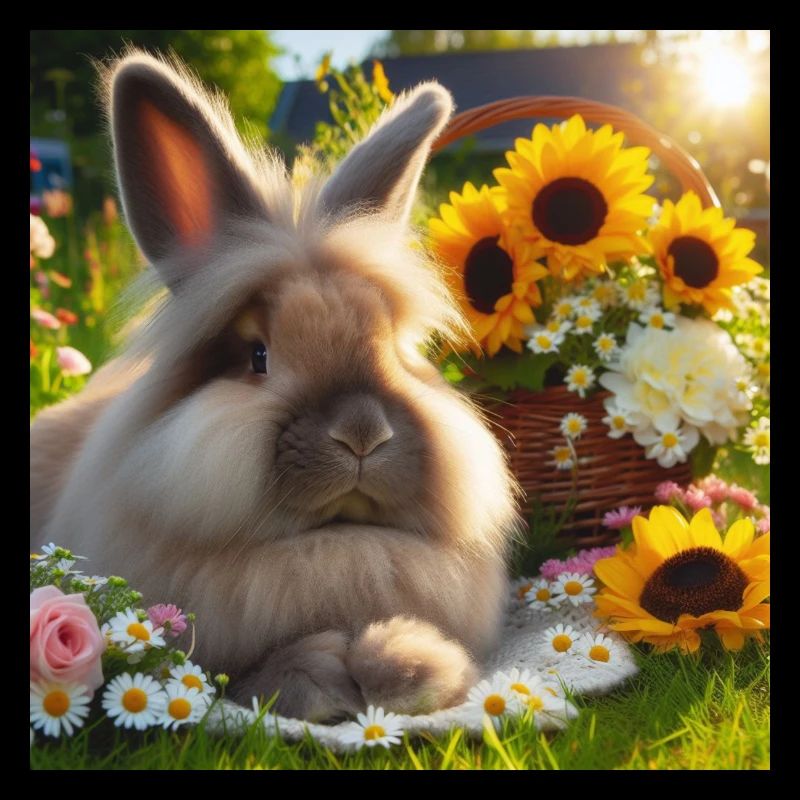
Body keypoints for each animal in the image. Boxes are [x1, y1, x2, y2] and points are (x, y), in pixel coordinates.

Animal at [29, 51, 520, 722]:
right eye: (258, 357)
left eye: (395, 350)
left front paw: (407, 665)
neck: (333, 545)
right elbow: (251, 672)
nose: (362, 433)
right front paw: (318, 680)